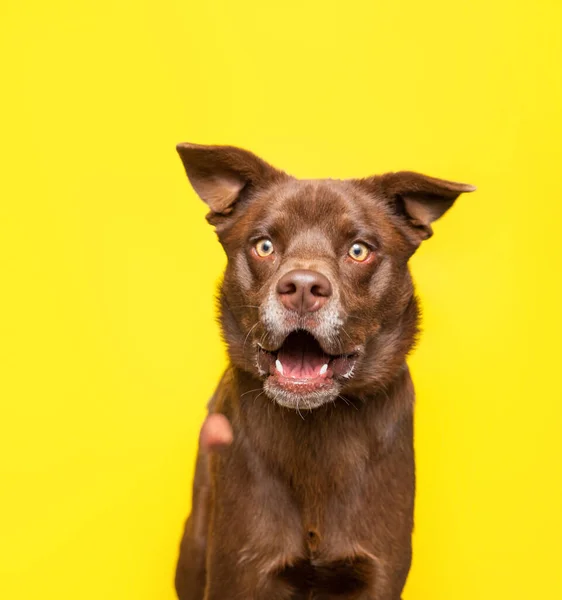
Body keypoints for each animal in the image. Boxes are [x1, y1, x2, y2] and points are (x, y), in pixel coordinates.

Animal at [173, 144, 470, 600]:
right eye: (263, 245)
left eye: (359, 250)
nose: (301, 288)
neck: (317, 423)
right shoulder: (238, 572)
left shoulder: (379, 572)